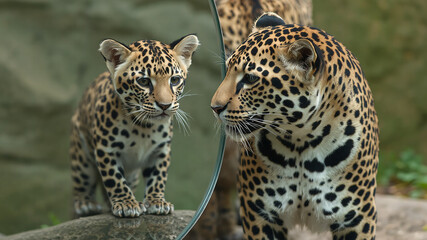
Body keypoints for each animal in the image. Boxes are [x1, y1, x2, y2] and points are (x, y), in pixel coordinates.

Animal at [212, 13, 380, 240]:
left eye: (250, 78)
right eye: (228, 68)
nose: (214, 107)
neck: (302, 141)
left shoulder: (356, 217)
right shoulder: (260, 212)